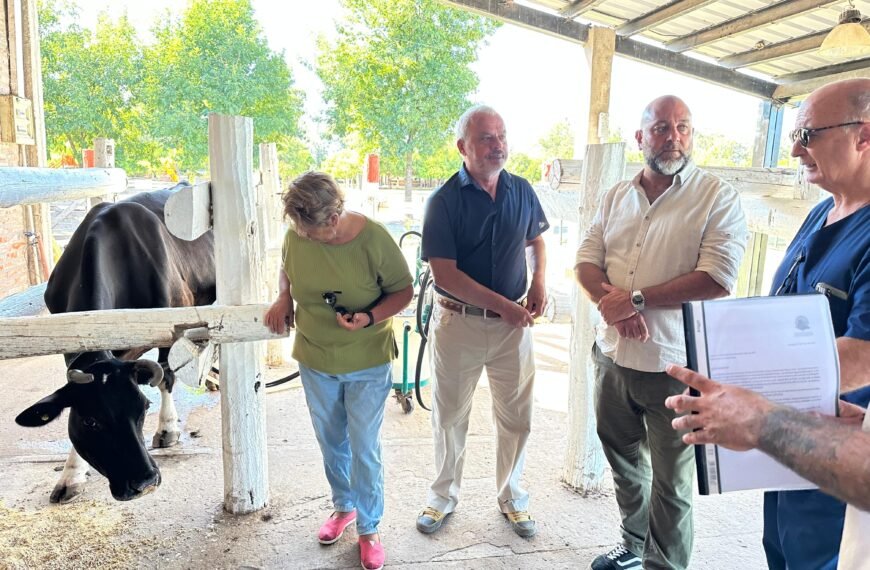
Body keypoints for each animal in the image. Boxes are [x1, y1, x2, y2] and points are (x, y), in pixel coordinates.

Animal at [14, 184, 215, 500]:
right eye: (90, 421)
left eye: (143, 407)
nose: (145, 482)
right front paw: (71, 476)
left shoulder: (170, 323)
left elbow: (166, 378)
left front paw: (167, 430)